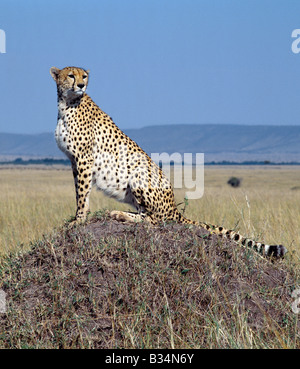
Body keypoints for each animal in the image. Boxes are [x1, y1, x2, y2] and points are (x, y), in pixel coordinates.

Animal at [50, 65, 288, 256]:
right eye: (71, 75)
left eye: (84, 76)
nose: (81, 85)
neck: (67, 103)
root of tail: (174, 207)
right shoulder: (74, 161)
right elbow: (81, 192)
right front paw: (78, 218)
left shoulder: (84, 159)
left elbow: (82, 194)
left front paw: (79, 220)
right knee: (146, 214)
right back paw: (119, 213)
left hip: (139, 172)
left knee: (155, 219)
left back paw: (121, 215)